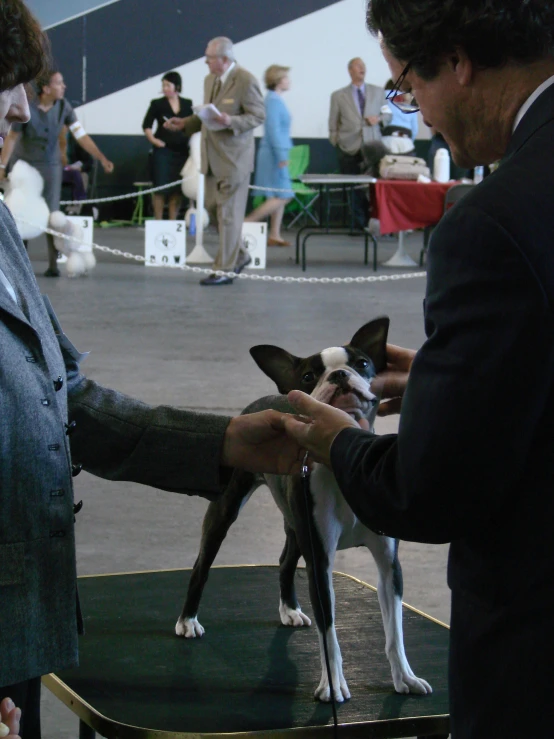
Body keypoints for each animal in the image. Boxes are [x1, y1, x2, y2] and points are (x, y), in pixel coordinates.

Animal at [175, 318, 430, 700]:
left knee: (284, 562)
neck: (340, 461)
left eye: (363, 364)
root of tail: (261, 400)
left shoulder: (388, 565)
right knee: (201, 565)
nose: (340, 375)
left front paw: (405, 677)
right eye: (309, 376)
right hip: (227, 509)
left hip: (297, 527)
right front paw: (333, 684)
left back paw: (290, 610)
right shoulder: (320, 562)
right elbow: (330, 635)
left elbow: (394, 632)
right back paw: (188, 620)